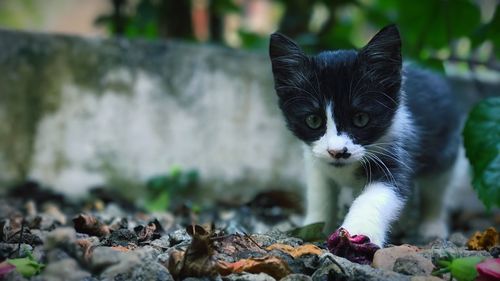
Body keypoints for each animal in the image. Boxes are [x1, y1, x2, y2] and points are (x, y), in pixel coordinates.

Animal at [268, 24, 466, 247]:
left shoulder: (397, 150)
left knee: (437, 188)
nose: (337, 152)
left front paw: (357, 231)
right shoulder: (315, 157)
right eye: (313, 121)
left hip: (445, 147)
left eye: (361, 119)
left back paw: (432, 225)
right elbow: (320, 192)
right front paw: (314, 226)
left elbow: (381, 192)